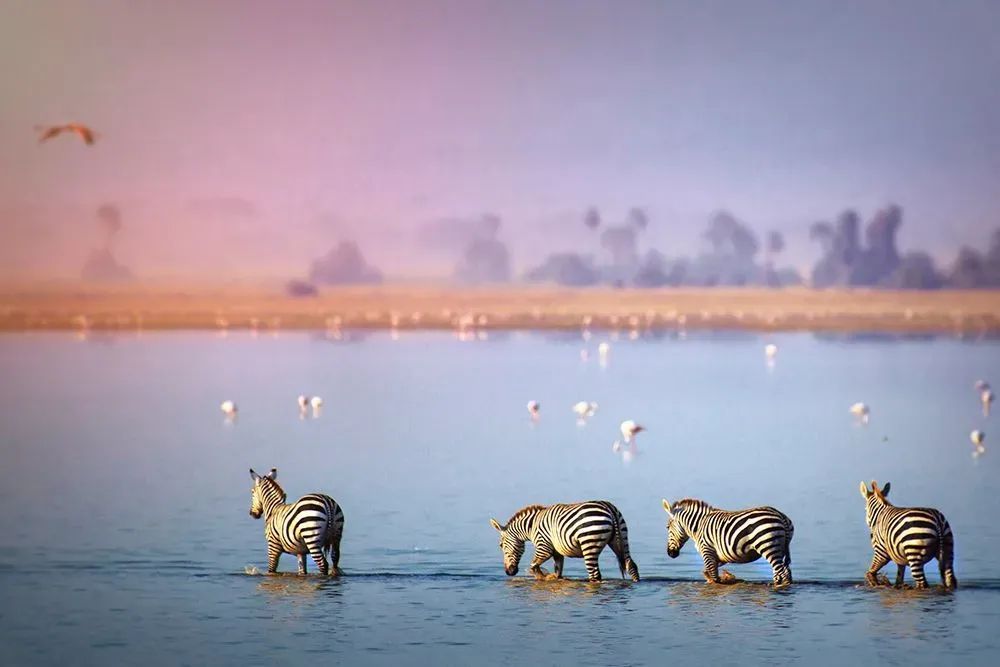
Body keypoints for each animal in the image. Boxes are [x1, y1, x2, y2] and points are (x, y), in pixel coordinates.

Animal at [489, 500, 640, 582]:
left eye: (501, 545)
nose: (509, 572)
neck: (532, 527)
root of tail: (609, 507)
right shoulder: (557, 552)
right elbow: (558, 571)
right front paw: (551, 578)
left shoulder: (544, 547)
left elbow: (533, 566)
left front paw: (543, 577)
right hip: (621, 538)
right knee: (631, 565)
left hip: (589, 544)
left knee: (595, 574)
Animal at [661, 497, 794, 587]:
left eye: (667, 527)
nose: (670, 554)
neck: (699, 526)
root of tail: (780, 515)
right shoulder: (719, 557)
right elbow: (710, 574)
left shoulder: (707, 551)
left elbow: (713, 577)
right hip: (780, 549)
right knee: (782, 572)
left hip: (768, 547)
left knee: (783, 573)